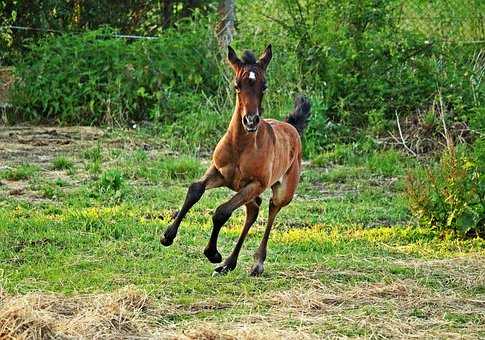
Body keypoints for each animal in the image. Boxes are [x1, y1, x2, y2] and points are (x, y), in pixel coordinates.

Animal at [159, 44, 310, 276]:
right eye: (237, 85)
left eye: (264, 86)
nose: (250, 121)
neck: (241, 148)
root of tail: (291, 127)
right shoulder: (219, 172)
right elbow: (195, 189)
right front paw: (167, 236)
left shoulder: (255, 184)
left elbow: (222, 211)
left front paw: (212, 253)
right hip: (243, 190)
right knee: (254, 210)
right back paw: (229, 264)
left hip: (281, 191)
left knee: (271, 209)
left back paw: (255, 264)